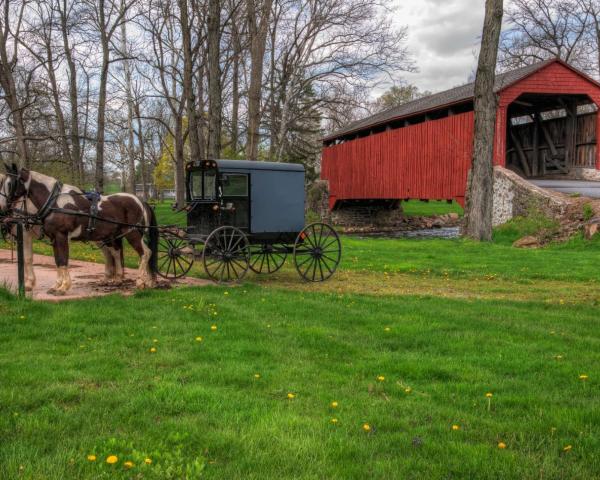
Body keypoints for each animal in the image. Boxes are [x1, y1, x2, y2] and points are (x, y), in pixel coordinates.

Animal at [0, 163, 159, 294]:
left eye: (10, 183)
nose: (2, 207)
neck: (54, 202)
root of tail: (140, 201)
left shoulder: (61, 236)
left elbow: (62, 260)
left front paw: (63, 287)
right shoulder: (54, 238)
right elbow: (58, 261)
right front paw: (56, 285)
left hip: (132, 233)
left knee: (145, 253)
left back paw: (141, 281)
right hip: (111, 236)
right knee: (116, 253)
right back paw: (143, 281)